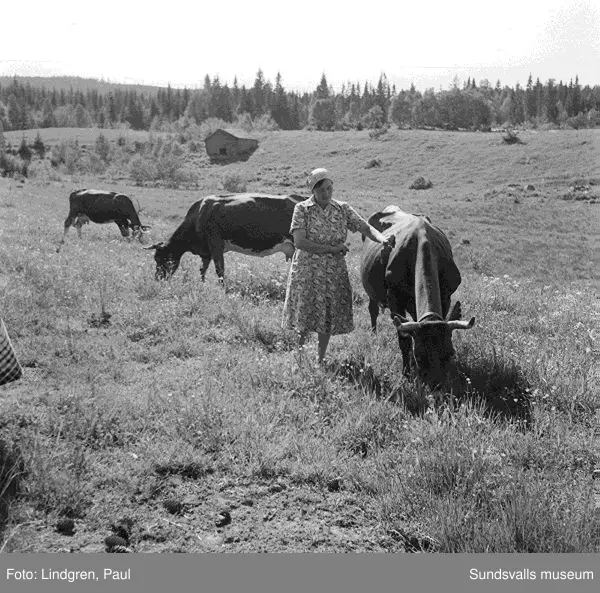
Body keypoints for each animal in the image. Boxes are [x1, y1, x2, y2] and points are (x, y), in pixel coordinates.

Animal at [144, 192, 304, 280]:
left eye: (160, 258)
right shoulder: (206, 252)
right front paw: (202, 285)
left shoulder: (216, 245)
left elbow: (219, 270)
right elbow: (202, 270)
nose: (157, 279)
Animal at [358, 206, 476, 386]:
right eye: (419, 355)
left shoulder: (446, 296)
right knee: (373, 310)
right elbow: (404, 340)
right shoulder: (394, 298)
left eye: (451, 353)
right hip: (371, 290)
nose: (437, 386)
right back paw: (373, 333)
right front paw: (406, 373)